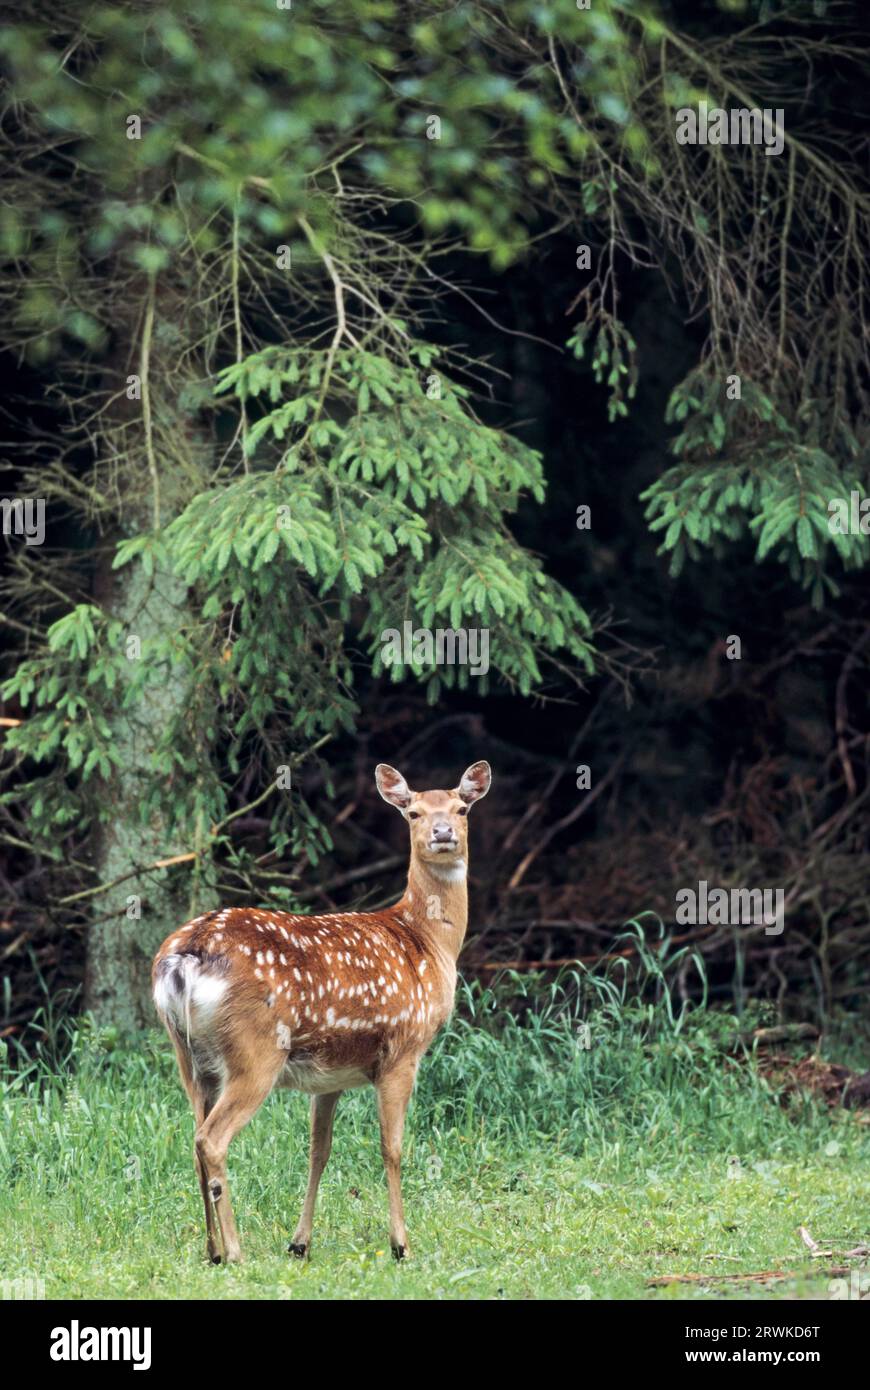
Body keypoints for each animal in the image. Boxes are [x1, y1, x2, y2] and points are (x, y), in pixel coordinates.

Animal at [148, 761, 489, 1262]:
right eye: (413, 812)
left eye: (462, 808)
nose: (443, 832)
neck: (427, 942)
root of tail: (188, 954)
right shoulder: (403, 1050)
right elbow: (392, 1147)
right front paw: (401, 1244)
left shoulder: (330, 1076)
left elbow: (318, 1150)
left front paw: (300, 1242)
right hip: (256, 1052)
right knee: (211, 1139)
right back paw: (236, 1251)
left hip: (188, 1056)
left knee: (194, 1137)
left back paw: (212, 1250)